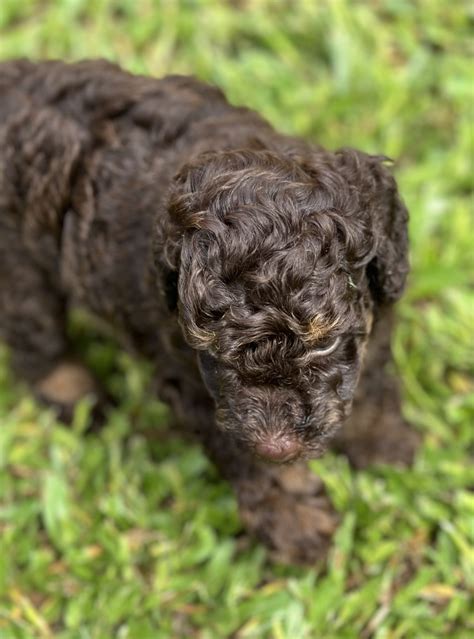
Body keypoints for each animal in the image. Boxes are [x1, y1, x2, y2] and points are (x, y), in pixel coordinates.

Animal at [0, 58, 418, 560]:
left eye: (327, 343)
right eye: (212, 351)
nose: (277, 447)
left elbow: (371, 378)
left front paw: (385, 443)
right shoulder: (192, 383)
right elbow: (240, 453)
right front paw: (293, 520)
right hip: (19, 260)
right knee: (36, 333)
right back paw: (78, 398)